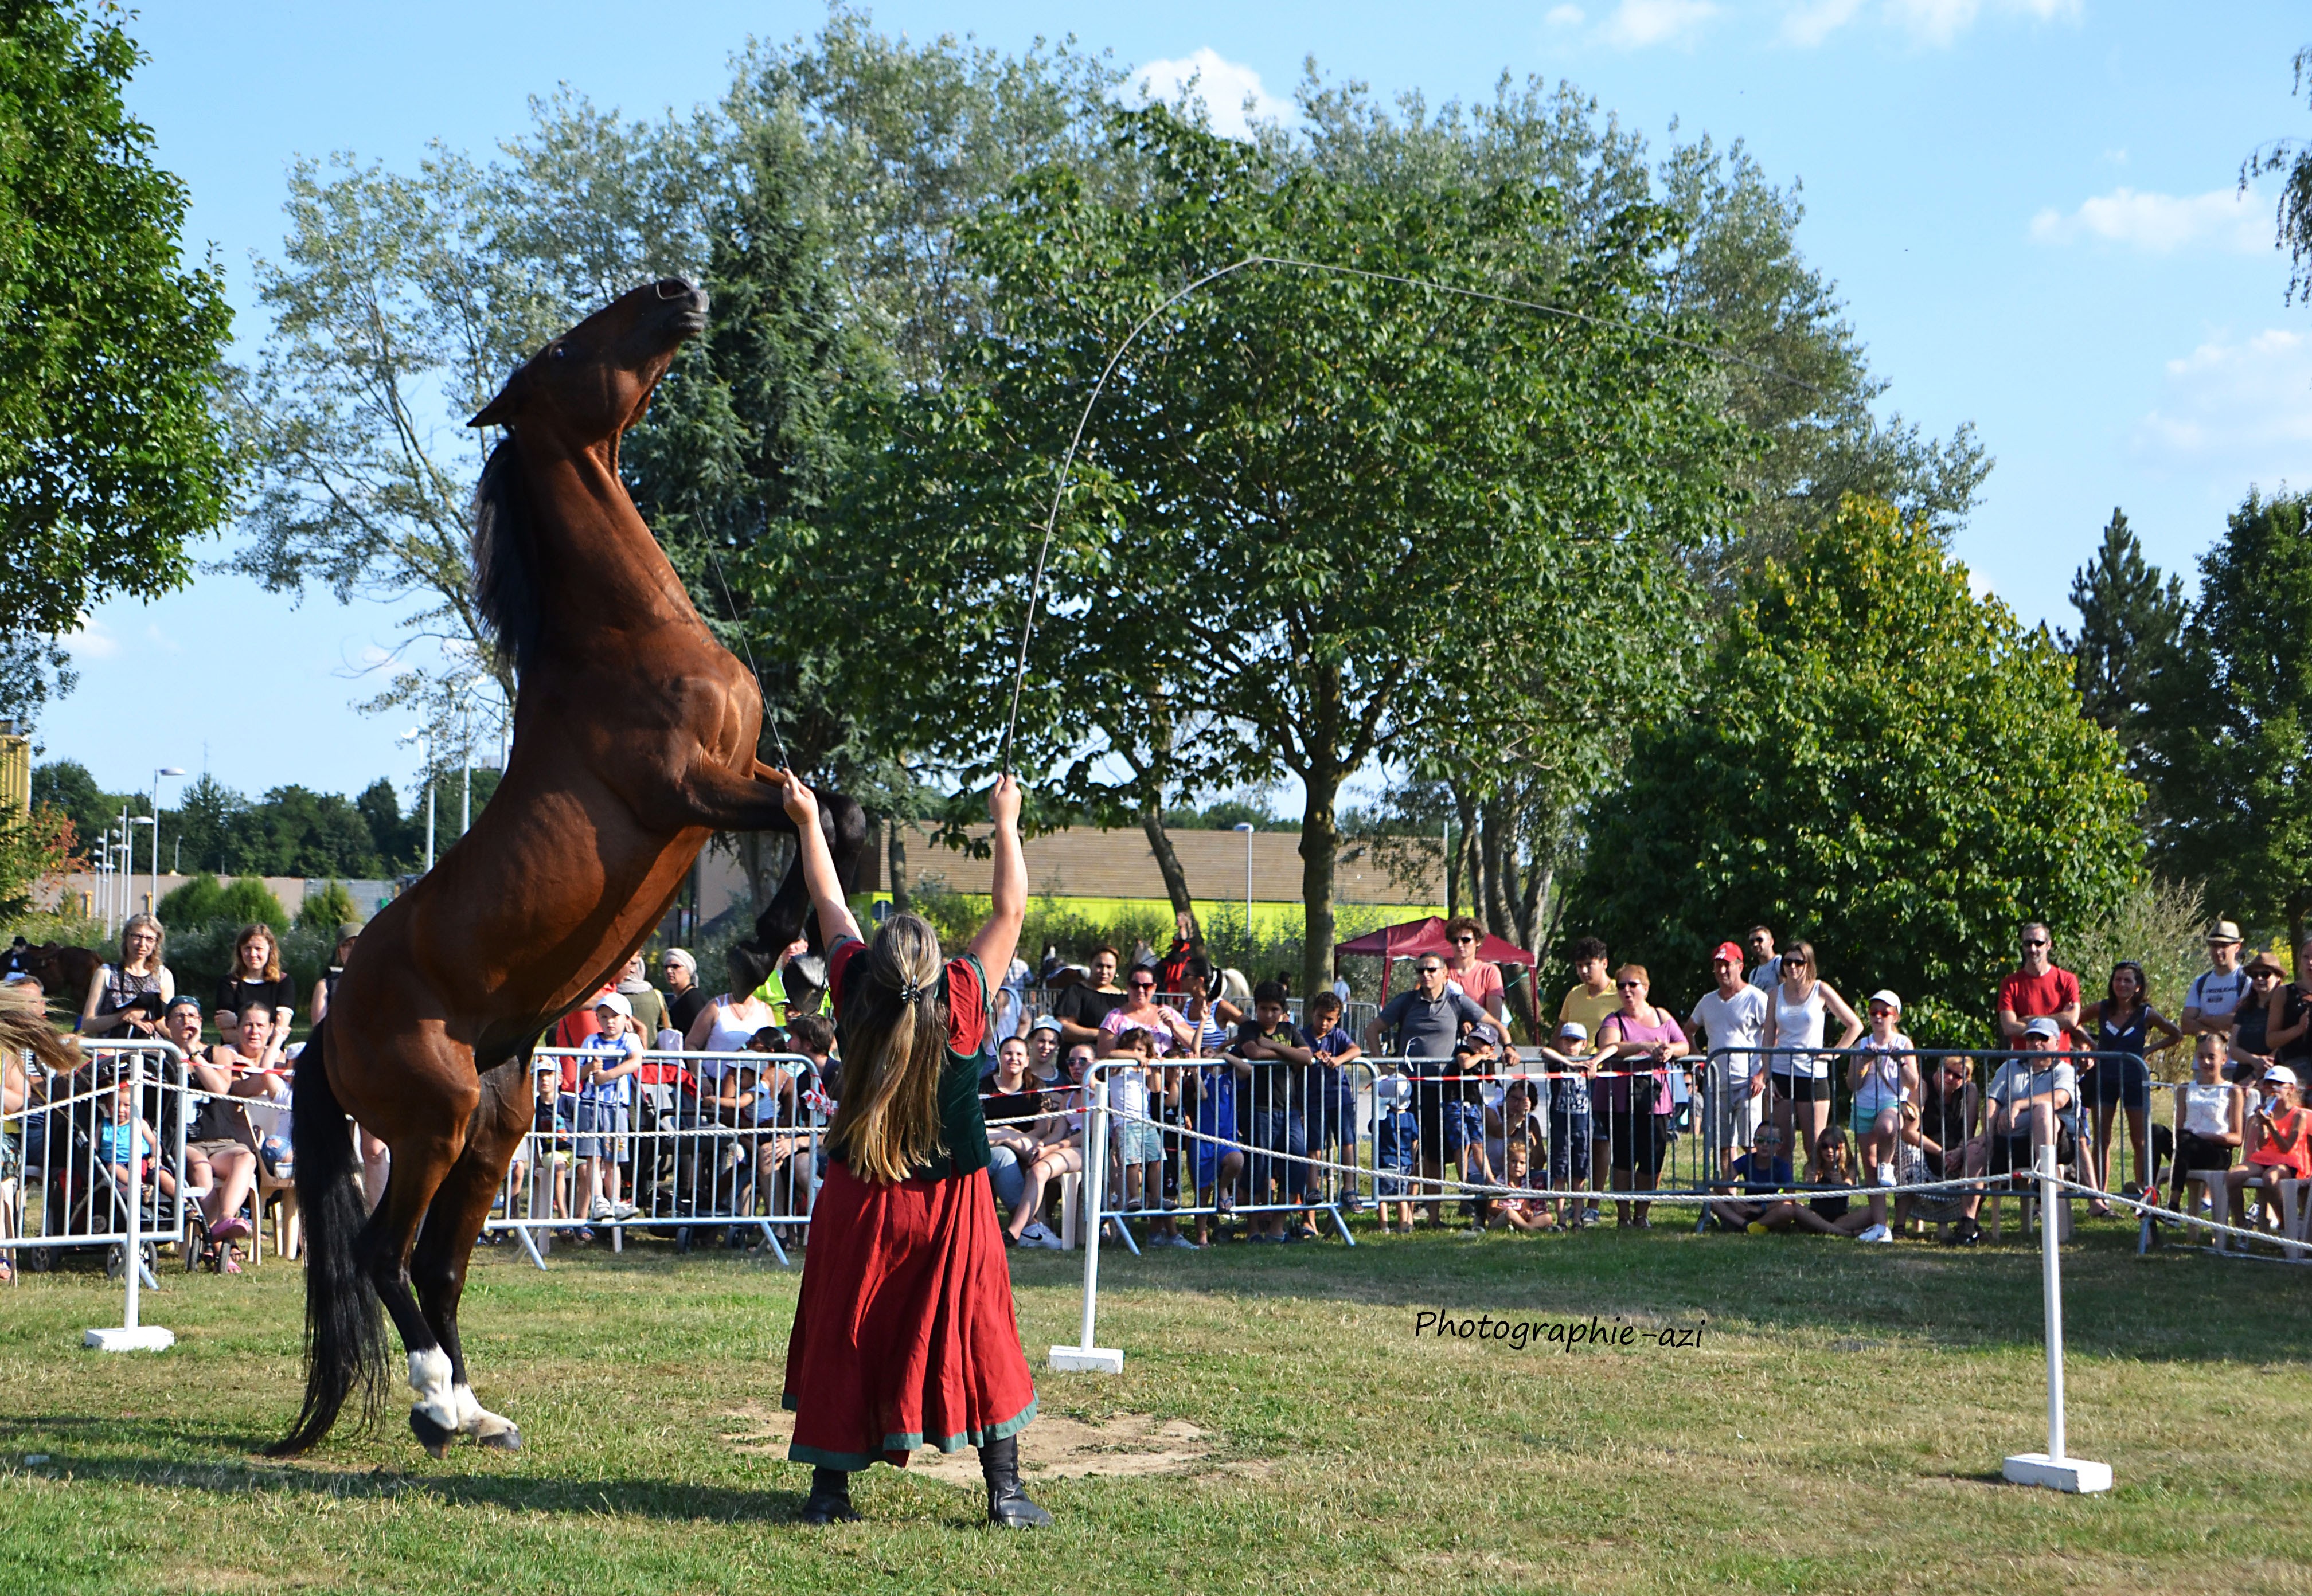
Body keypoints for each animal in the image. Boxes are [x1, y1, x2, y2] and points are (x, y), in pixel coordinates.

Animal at [270, 276, 869, 1452]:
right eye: (558, 351)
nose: (679, 289)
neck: (626, 638)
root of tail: (330, 1021)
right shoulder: (691, 788)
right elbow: (814, 807)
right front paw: (768, 953)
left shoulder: (742, 768)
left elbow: (836, 800)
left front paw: (790, 952)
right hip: (433, 1122)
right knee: (382, 1253)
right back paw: (438, 1401)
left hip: (494, 1129)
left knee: (438, 1265)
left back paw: (474, 1409)